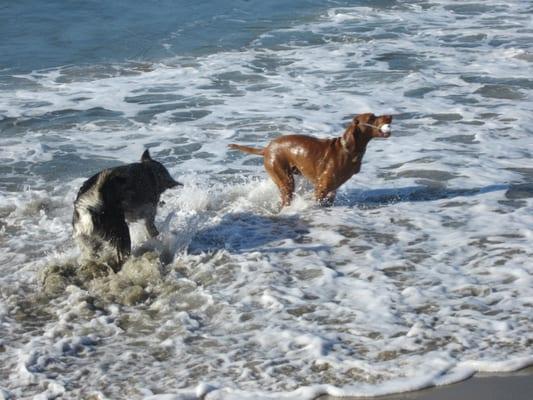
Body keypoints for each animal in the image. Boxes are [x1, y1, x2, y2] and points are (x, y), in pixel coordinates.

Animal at [229, 111, 390, 206]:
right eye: (371, 118)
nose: (391, 116)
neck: (348, 150)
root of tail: (267, 148)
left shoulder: (332, 191)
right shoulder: (321, 188)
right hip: (285, 180)